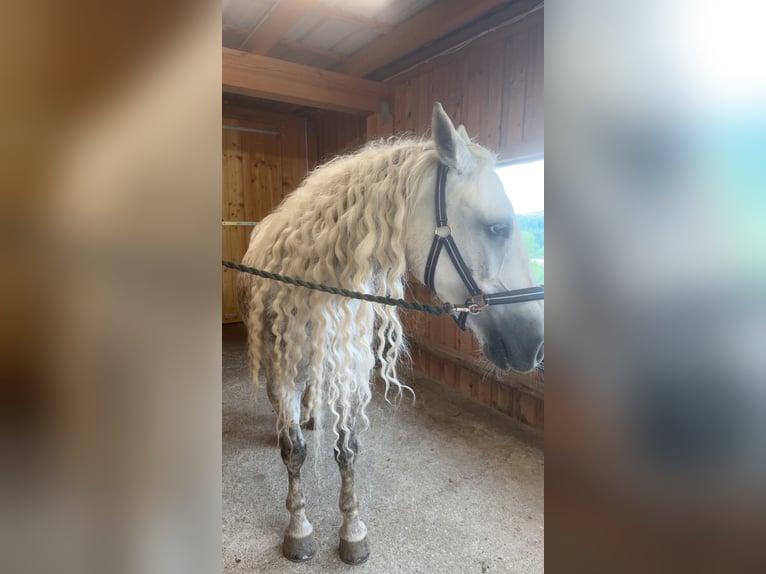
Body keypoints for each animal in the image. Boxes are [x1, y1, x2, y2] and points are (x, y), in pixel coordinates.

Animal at [237, 102, 544, 564]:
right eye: (497, 228)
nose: (534, 344)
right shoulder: (282, 371)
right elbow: (294, 452)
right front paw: (298, 528)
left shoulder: (348, 368)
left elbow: (347, 451)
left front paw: (352, 532)